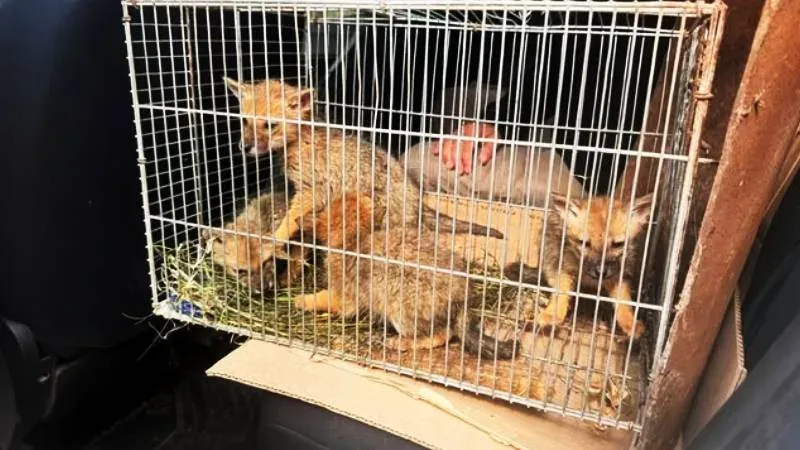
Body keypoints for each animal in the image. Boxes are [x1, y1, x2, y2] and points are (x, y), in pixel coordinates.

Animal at [222, 77, 504, 262]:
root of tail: (418, 205)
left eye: (270, 126)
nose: (244, 147)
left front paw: (275, 239)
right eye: (244, 122)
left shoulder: (312, 191)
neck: (302, 139)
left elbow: (287, 222)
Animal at [293, 192, 518, 360]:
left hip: (398, 310)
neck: (354, 238)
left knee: (441, 335)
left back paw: (399, 343)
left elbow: (322, 298)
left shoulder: (344, 299)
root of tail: (462, 299)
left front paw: (300, 300)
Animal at [519, 192, 654, 340]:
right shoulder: (565, 268)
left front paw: (630, 322)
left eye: (618, 244)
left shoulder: (618, 275)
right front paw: (553, 313)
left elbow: (624, 301)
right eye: (584, 243)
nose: (600, 271)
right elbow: (561, 293)